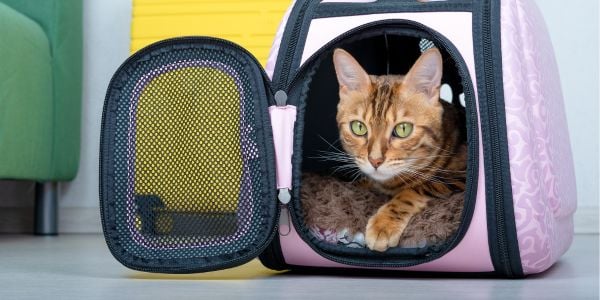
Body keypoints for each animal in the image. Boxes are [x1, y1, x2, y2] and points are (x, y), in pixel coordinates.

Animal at [330, 47, 466, 251]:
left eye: (403, 129)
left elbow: (414, 190)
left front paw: (384, 223)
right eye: (358, 127)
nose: (375, 160)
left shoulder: (458, 177)